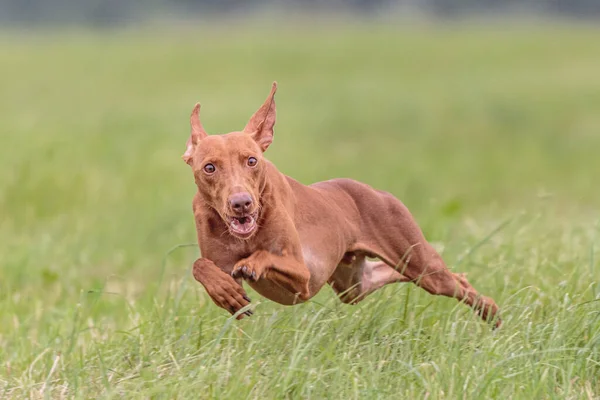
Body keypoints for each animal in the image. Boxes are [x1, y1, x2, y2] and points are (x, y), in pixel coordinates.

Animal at [184, 82, 502, 328]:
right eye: (209, 167)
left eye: (252, 160)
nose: (241, 204)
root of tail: (375, 191)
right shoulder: (222, 264)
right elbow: (200, 266)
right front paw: (224, 292)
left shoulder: (303, 276)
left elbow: (264, 256)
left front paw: (251, 263)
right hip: (354, 285)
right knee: (390, 274)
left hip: (420, 263)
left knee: (454, 281)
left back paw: (491, 312)